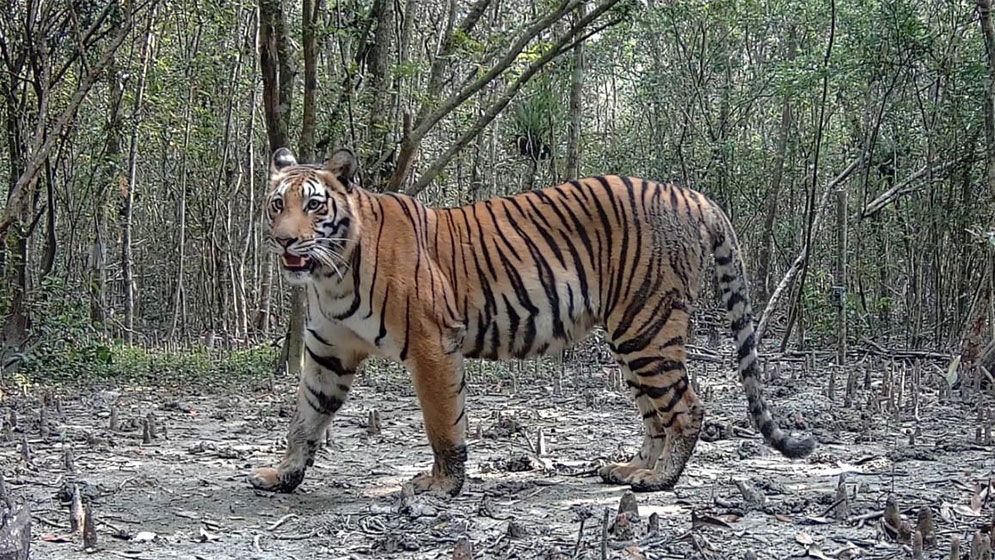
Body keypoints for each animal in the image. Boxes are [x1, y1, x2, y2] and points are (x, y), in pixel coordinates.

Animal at [248, 147, 815, 496]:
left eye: (313, 206)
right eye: (277, 204)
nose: (283, 239)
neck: (330, 274)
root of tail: (693, 195)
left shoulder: (433, 343)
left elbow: (442, 423)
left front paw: (441, 486)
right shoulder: (328, 351)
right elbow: (304, 419)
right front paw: (282, 475)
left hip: (647, 326)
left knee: (687, 407)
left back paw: (660, 482)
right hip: (632, 338)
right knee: (656, 413)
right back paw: (634, 469)